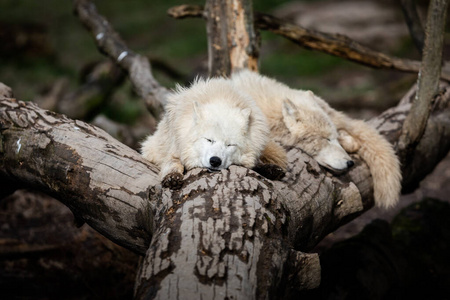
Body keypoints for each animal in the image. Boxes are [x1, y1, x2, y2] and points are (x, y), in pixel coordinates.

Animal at [142, 76, 286, 188]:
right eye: (209, 139)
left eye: (230, 145)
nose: (215, 161)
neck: (220, 98)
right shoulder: (175, 149)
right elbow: (172, 164)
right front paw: (172, 177)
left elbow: (254, 164)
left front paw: (269, 169)